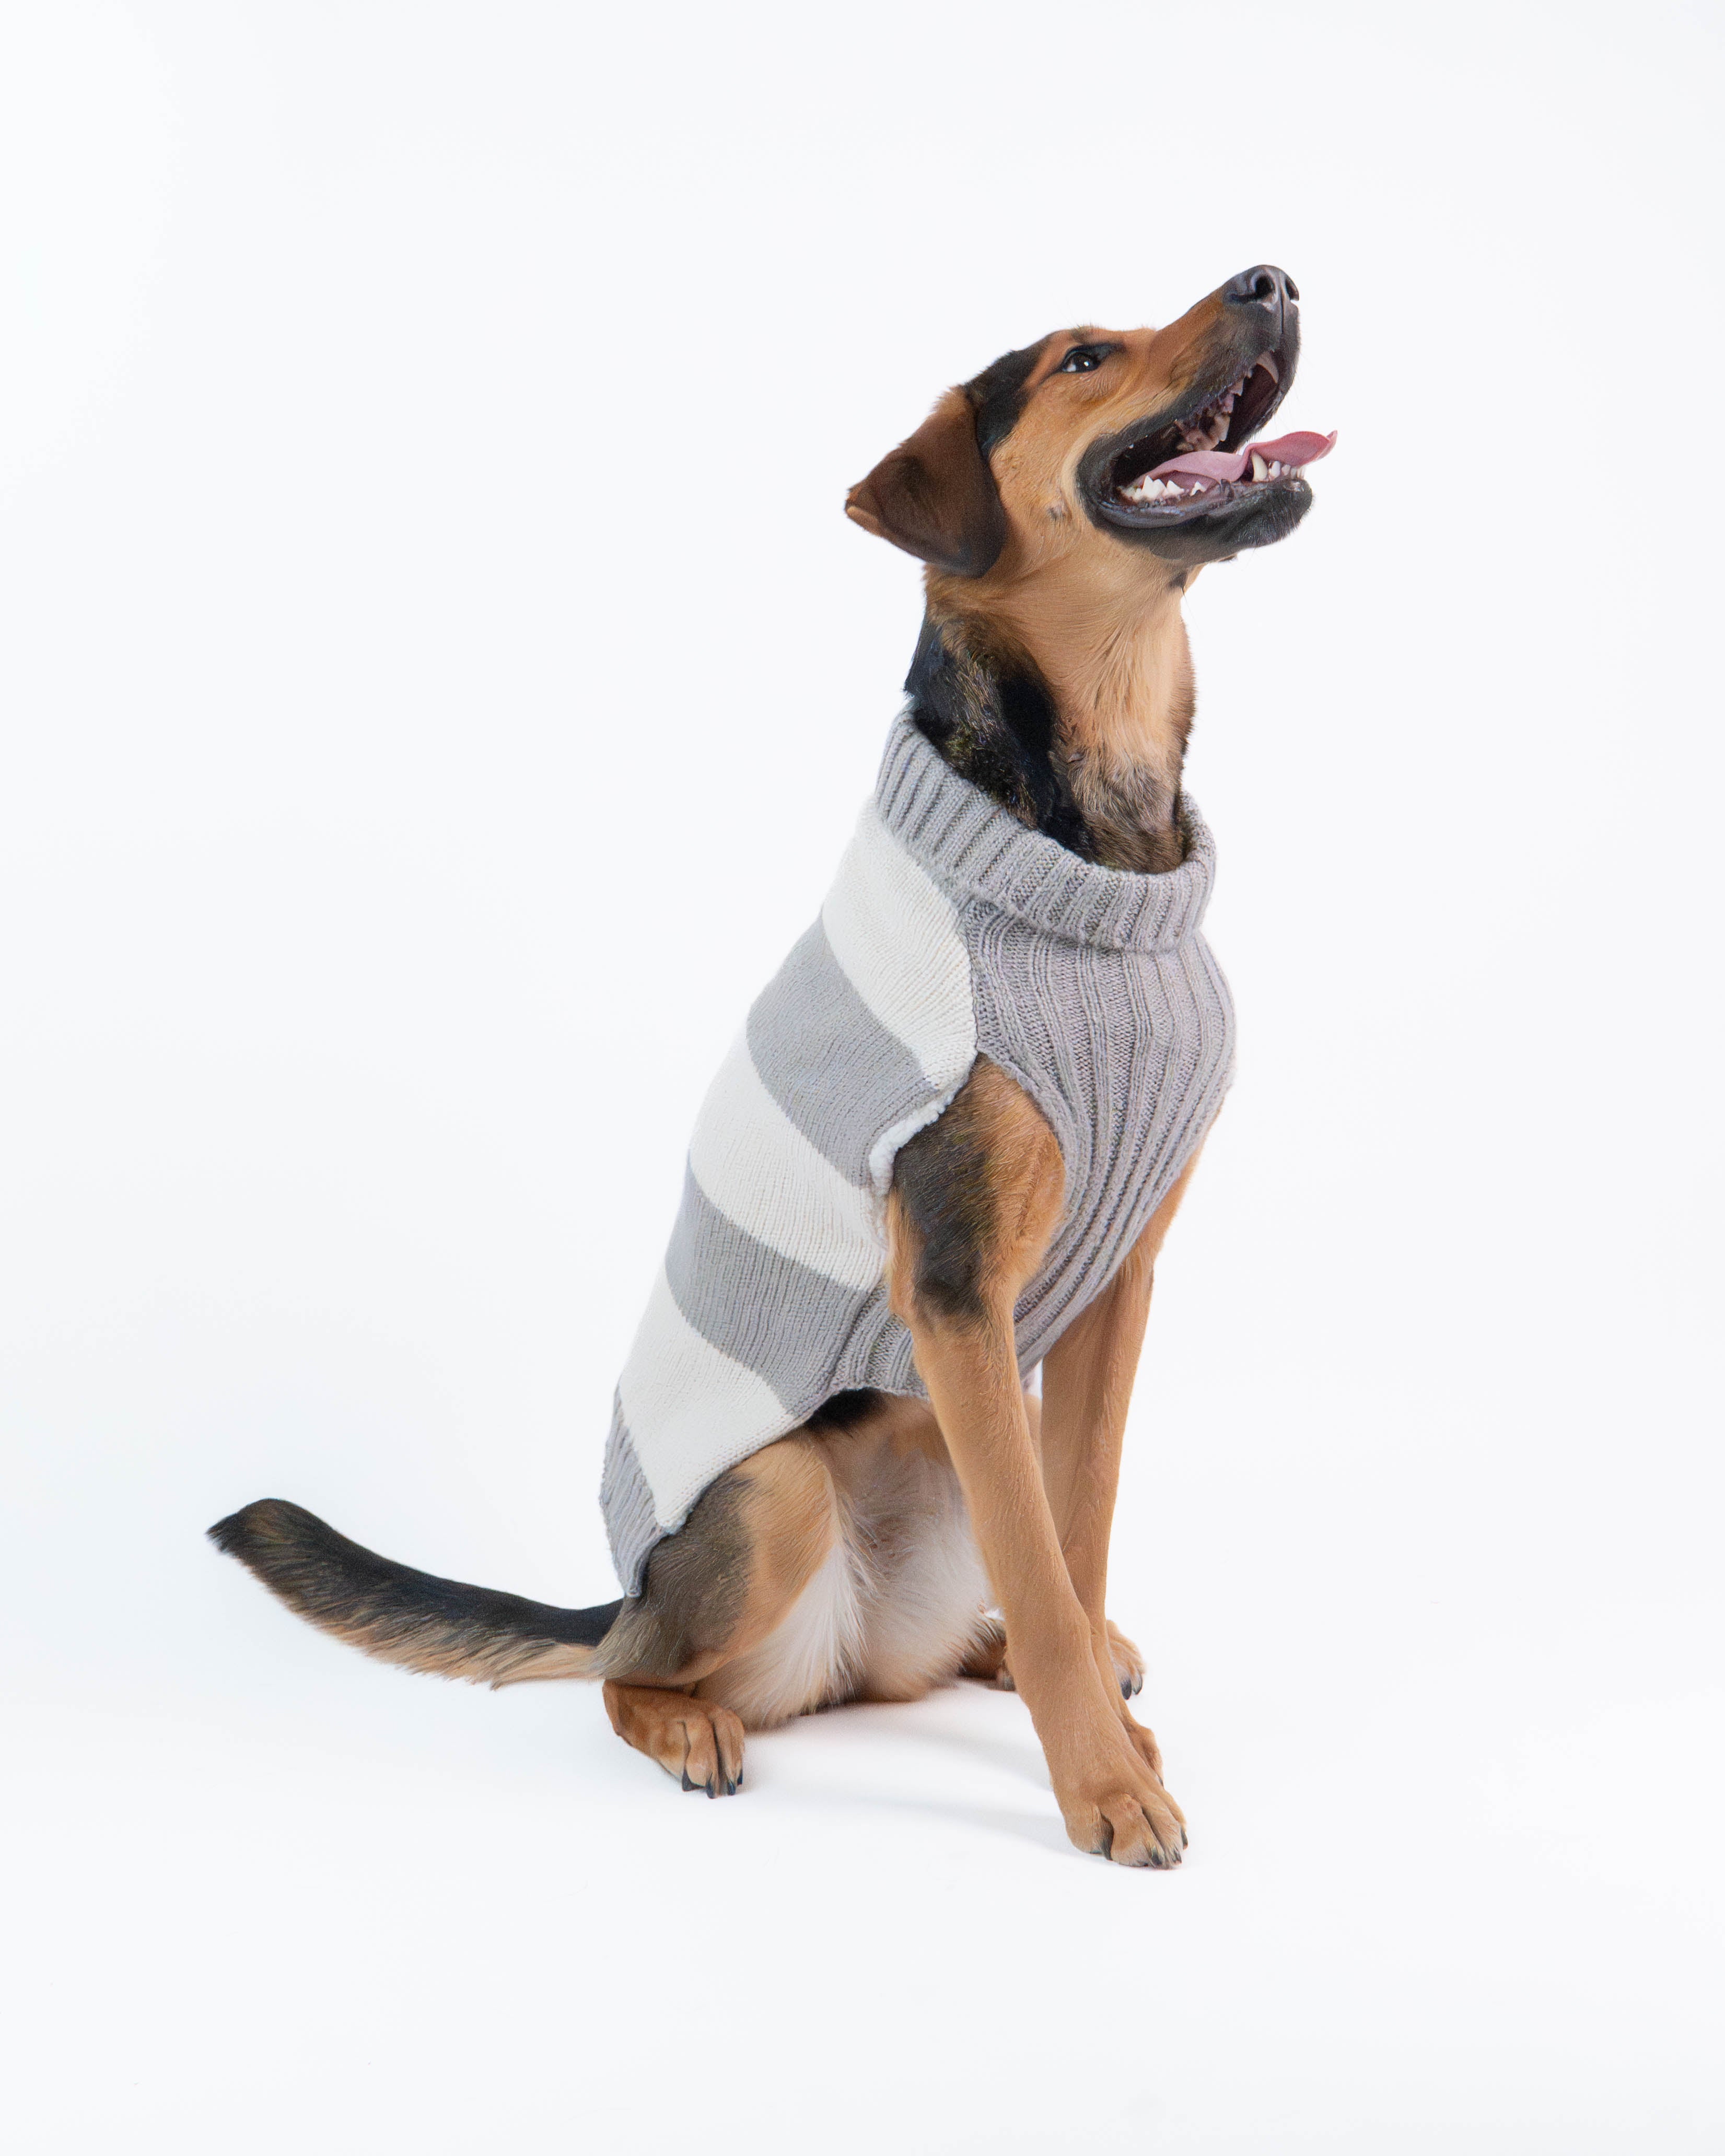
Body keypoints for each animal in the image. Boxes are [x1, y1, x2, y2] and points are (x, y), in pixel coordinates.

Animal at [211, 264, 1332, 1868]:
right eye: (1081, 359)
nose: (1272, 280)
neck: (1088, 843)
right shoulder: (956, 1292)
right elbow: (1047, 1565)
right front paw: (1104, 1787)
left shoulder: (1114, 1290)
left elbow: (1075, 1532)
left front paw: (1099, 1710)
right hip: (779, 1486)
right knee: (628, 1670)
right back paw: (692, 1720)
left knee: (979, 1603)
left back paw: (988, 1652)